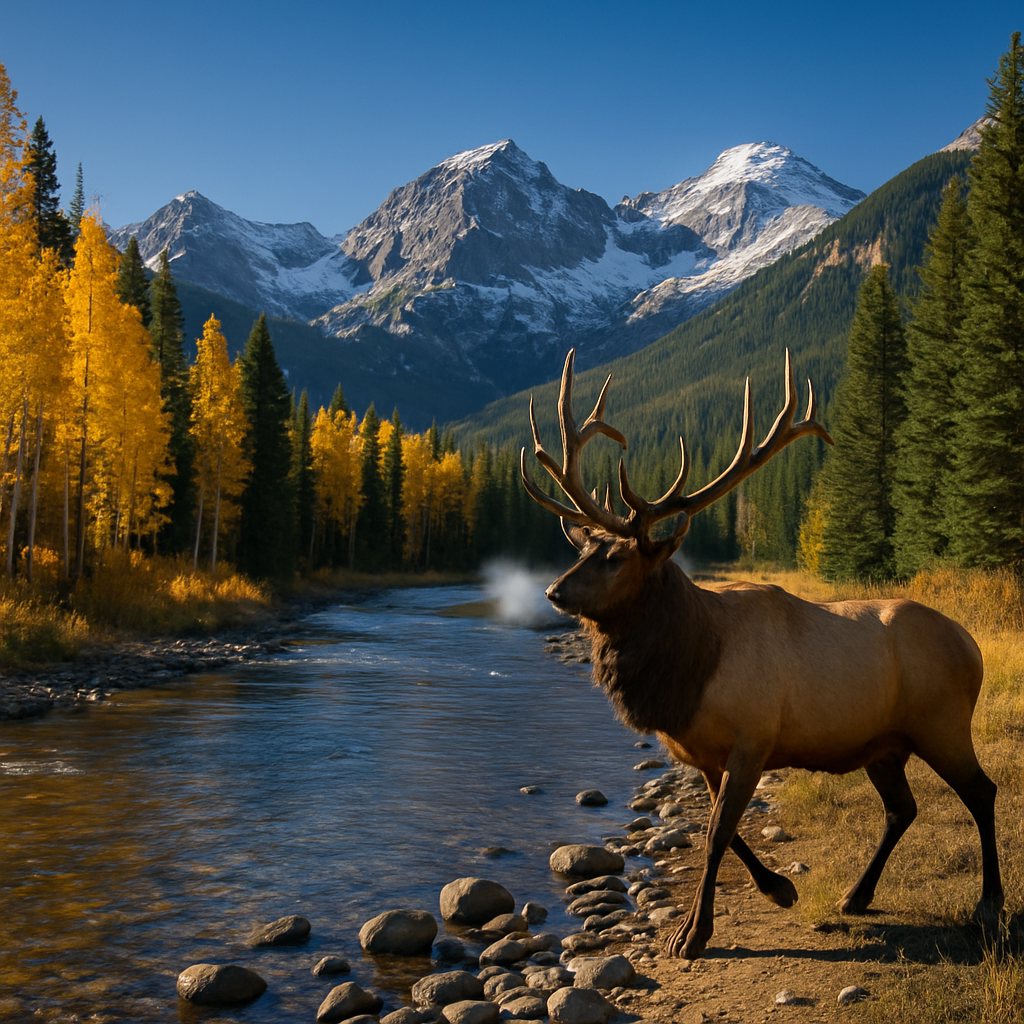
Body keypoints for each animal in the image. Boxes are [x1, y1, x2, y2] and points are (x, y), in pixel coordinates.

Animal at [521, 348, 1003, 960]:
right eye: (584, 549)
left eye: (616, 559)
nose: (553, 592)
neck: (686, 673)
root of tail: (973, 647)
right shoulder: (703, 754)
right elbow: (724, 832)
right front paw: (778, 889)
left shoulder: (753, 739)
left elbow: (716, 834)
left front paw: (693, 934)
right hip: (884, 744)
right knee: (902, 808)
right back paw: (856, 896)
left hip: (942, 723)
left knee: (982, 791)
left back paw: (988, 903)